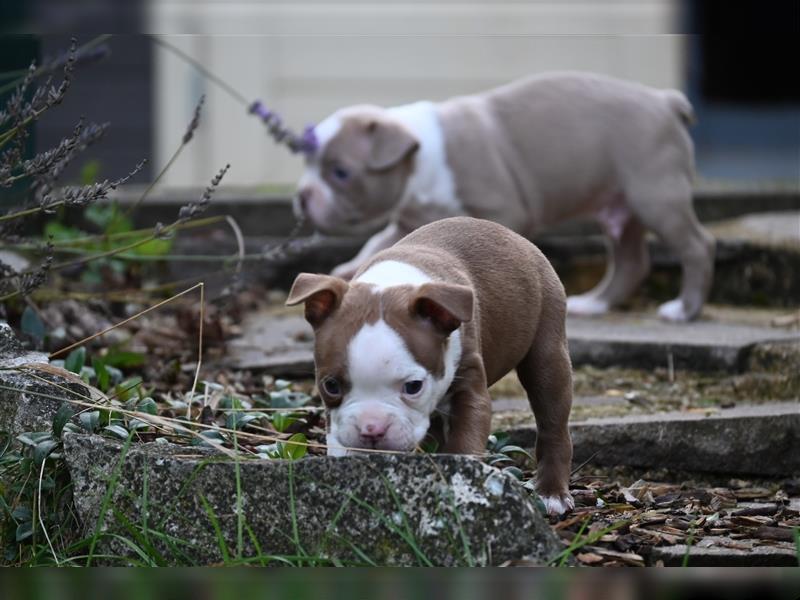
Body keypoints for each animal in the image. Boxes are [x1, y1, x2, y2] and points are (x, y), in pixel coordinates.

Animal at [288, 216, 576, 516]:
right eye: (331, 386)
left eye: (413, 387)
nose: (372, 428)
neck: (392, 285)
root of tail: (513, 235)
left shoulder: (469, 387)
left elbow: (466, 438)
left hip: (548, 347)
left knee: (552, 419)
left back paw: (551, 493)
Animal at [296, 71, 720, 324]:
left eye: (341, 172)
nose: (301, 196)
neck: (420, 154)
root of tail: (665, 101)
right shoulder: (407, 220)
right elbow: (376, 243)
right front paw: (349, 271)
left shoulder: (501, 210)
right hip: (619, 206)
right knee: (632, 259)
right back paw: (594, 303)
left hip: (655, 194)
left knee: (696, 245)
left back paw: (684, 309)